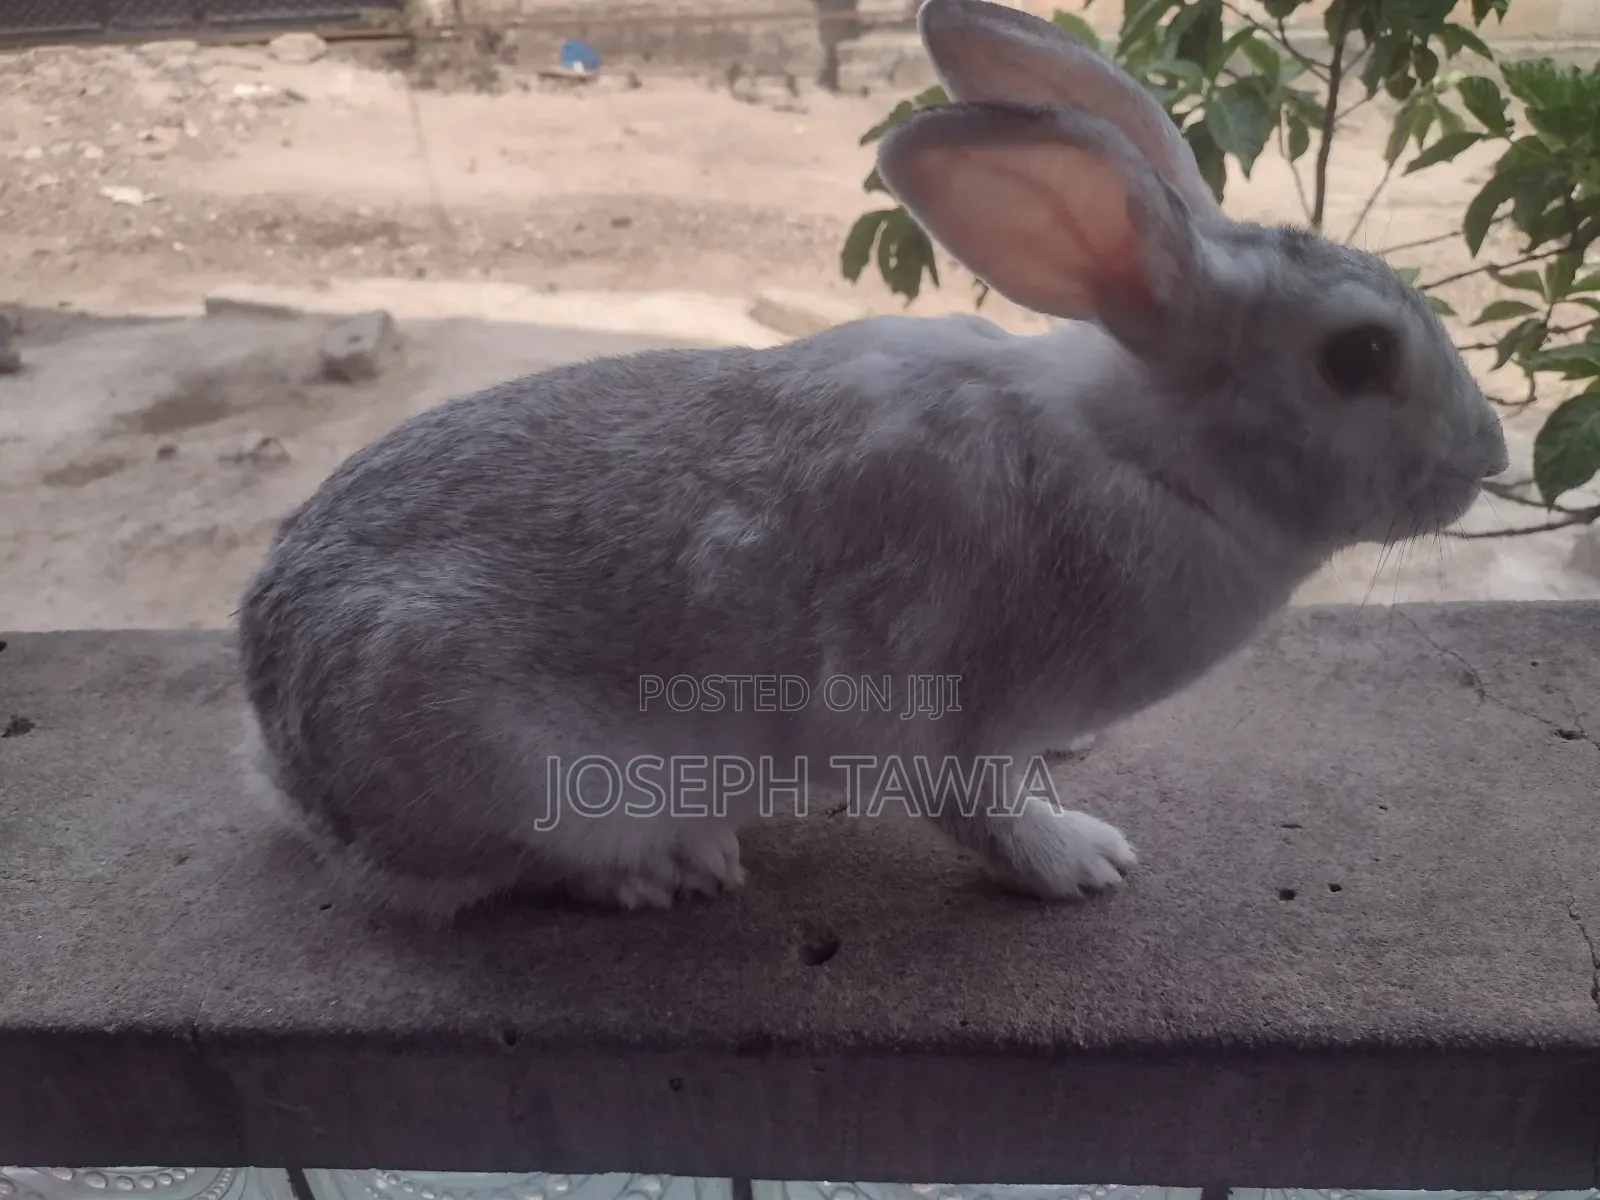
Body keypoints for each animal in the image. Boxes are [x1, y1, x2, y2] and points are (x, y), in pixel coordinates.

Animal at [236, 0, 1508, 922]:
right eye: (1357, 358)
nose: (1488, 456)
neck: (1147, 455)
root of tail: (286, 754)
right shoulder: (947, 707)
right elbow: (980, 810)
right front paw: (1082, 862)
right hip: (506, 763)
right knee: (508, 869)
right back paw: (671, 867)